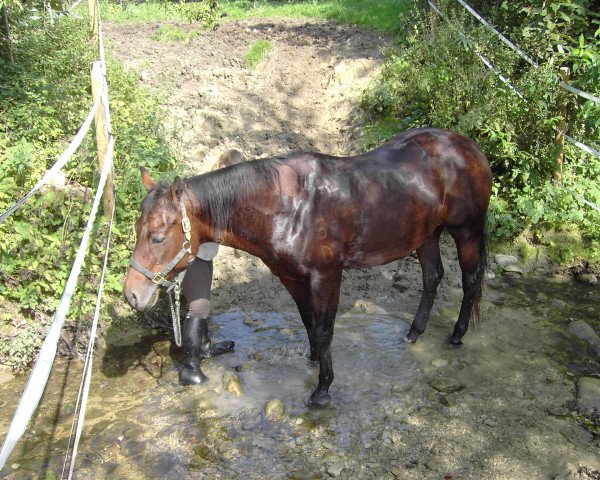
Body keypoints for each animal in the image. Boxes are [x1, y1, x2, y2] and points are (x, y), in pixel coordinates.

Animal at [123, 126, 492, 404]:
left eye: (157, 236)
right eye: (137, 229)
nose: (132, 295)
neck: (290, 206)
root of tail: (468, 146)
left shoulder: (326, 276)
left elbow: (326, 328)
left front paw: (323, 389)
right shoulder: (290, 276)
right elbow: (309, 321)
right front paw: (313, 361)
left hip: (466, 230)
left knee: (471, 279)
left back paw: (457, 334)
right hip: (426, 235)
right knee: (433, 278)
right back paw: (414, 332)